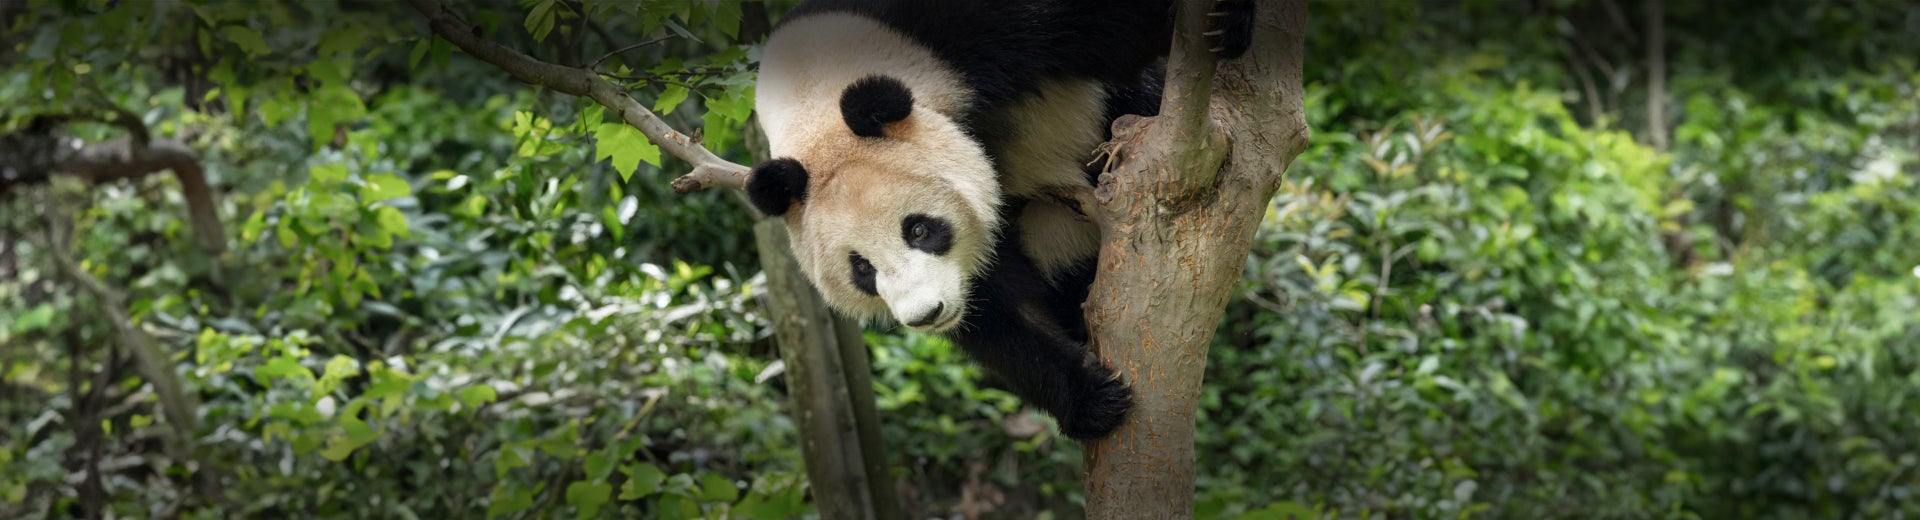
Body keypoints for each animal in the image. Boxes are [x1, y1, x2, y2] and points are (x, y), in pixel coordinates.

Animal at [744, 0, 1256, 440]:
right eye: (861, 268)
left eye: (918, 229)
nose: (926, 314)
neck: (816, 96)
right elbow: (998, 315)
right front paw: (1091, 400)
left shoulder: (974, 33)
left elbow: (1120, 29)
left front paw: (1226, 19)